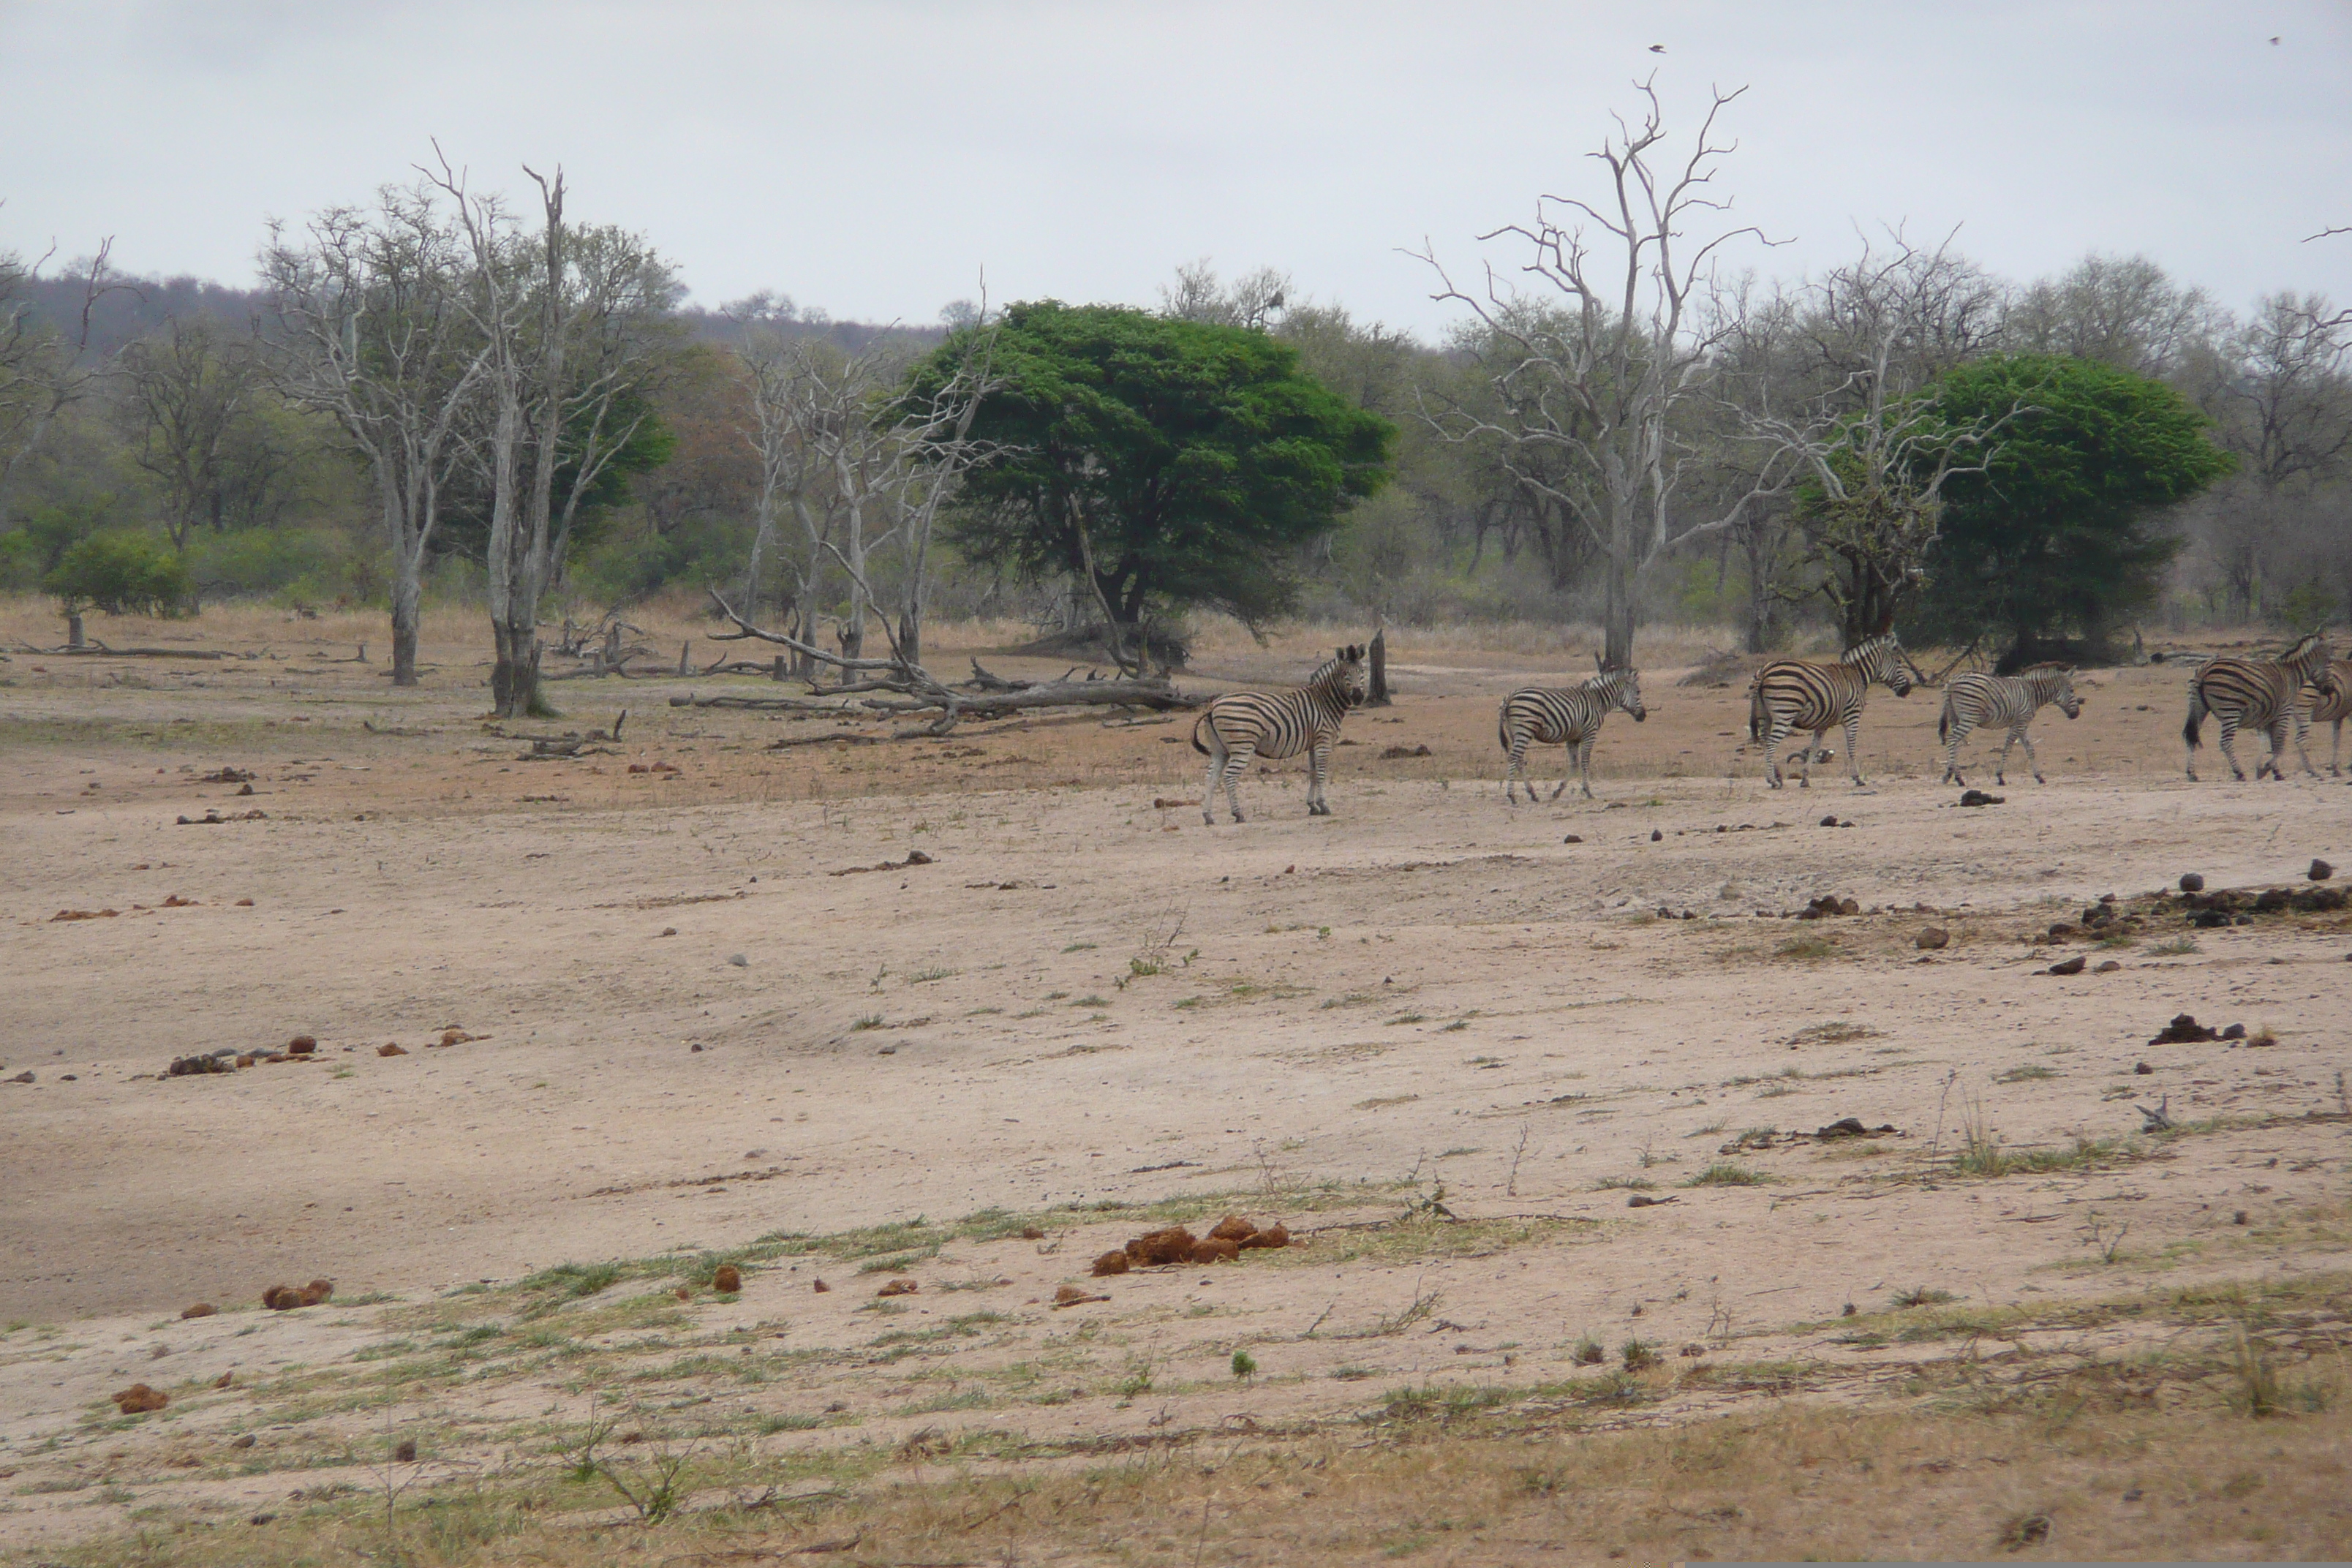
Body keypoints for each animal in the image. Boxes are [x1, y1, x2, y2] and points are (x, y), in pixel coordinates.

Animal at [1204, 649, 1373, 827]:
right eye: (1345, 673)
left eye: (1362, 671)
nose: (1358, 697)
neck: (1325, 701)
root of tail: (1214, 704)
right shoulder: (1324, 740)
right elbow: (1321, 774)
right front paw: (1324, 805)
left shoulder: (1313, 743)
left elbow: (1312, 773)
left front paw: (1313, 806)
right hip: (1242, 745)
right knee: (1229, 777)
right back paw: (1238, 814)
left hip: (1219, 749)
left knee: (1211, 778)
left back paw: (1208, 816)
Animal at [1496, 663, 1646, 808]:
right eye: (1638, 692)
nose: (1643, 716)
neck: (1598, 701)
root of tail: (1510, 695)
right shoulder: (1590, 733)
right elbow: (1585, 762)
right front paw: (1588, 792)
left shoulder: (1573, 738)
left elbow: (1574, 764)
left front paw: (1558, 792)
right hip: (1525, 728)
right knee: (1514, 757)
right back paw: (1512, 796)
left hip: (1515, 732)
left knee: (1519, 760)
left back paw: (1533, 794)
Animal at [1749, 630, 1910, 790]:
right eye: (1899, 663)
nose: (1907, 690)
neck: (1857, 675)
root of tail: (1765, 670)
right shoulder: (1852, 717)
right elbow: (1851, 748)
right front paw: (1858, 778)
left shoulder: (1822, 724)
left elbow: (1814, 749)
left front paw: (1805, 779)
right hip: (1785, 712)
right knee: (1771, 743)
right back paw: (1774, 781)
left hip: (1764, 715)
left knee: (1764, 742)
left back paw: (1774, 777)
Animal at [1937, 663, 2088, 785]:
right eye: (2072, 690)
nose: (2076, 714)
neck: (2032, 693)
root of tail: (1953, 680)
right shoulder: (2020, 723)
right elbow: (2008, 747)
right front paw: (2000, 776)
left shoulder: (2022, 724)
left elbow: (2030, 749)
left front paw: (2039, 777)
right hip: (1970, 717)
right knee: (1952, 739)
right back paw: (1959, 778)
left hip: (1955, 717)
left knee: (1954, 743)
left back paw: (1949, 774)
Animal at [2182, 630, 2333, 785]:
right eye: (2329, 663)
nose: (2330, 690)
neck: (2292, 674)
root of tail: (2206, 668)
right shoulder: (2284, 713)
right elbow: (2279, 745)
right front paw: (2265, 769)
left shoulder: (2269, 718)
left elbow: (2272, 745)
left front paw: (2275, 772)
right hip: (2230, 709)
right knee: (2225, 742)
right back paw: (2239, 773)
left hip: (2199, 707)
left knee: (2191, 738)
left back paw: (2192, 774)